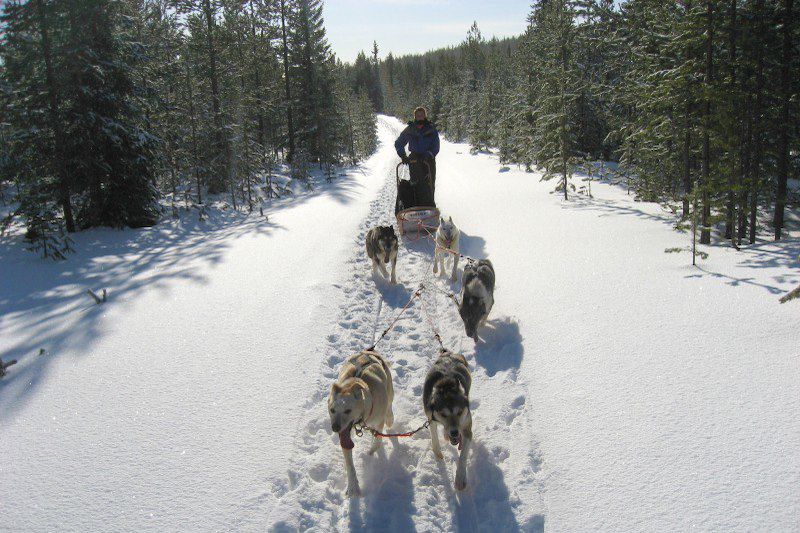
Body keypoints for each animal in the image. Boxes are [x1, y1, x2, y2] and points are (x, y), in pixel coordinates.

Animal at [328, 350, 394, 494]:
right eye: (332, 410)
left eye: (348, 410)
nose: (335, 428)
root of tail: (369, 351)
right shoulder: (346, 439)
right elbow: (350, 465)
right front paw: (353, 487)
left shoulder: (378, 422)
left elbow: (376, 443)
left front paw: (369, 455)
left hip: (389, 389)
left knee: (390, 405)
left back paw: (390, 418)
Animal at [422, 350, 472, 490]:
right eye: (443, 414)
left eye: (459, 412)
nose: (454, 433)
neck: (447, 387)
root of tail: (448, 353)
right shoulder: (430, 417)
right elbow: (434, 436)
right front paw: (438, 452)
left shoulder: (467, 428)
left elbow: (463, 456)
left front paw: (460, 478)